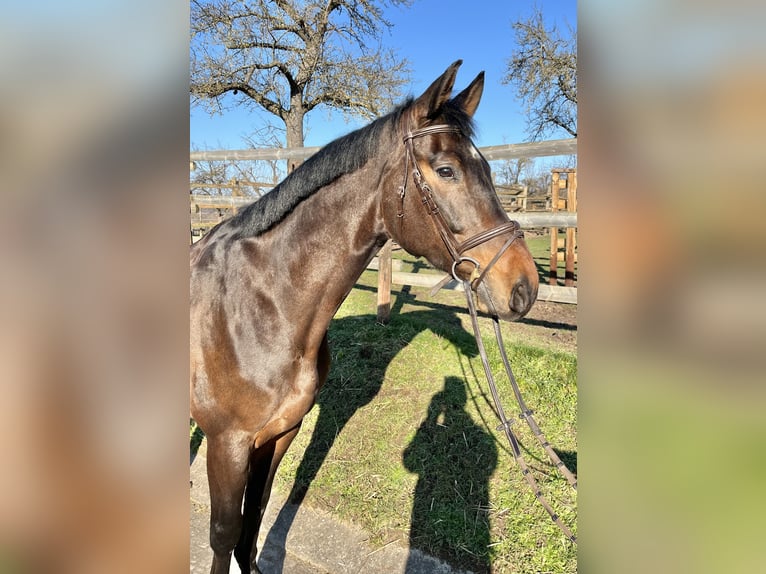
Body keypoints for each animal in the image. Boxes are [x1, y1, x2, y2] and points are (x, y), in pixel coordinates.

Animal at [191, 62, 540, 574]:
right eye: (446, 170)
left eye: (489, 170)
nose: (524, 287)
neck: (262, 306)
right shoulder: (228, 444)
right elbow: (224, 534)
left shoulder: (281, 433)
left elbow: (253, 522)